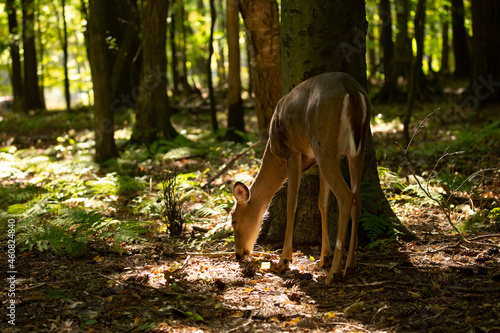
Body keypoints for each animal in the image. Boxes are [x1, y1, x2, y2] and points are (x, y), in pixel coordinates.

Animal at [231, 71, 372, 282]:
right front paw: (324, 257)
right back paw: (350, 265)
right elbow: (322, 202)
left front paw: (283, 261)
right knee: (358, 197)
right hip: (356, 149)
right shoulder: (314, 159)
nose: (238, 254)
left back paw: (334, 273)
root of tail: (352, 91)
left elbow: (292, 203)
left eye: (233, 220)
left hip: (324, 143)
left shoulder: (292, 152)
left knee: (346, 196)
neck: (274, 152)